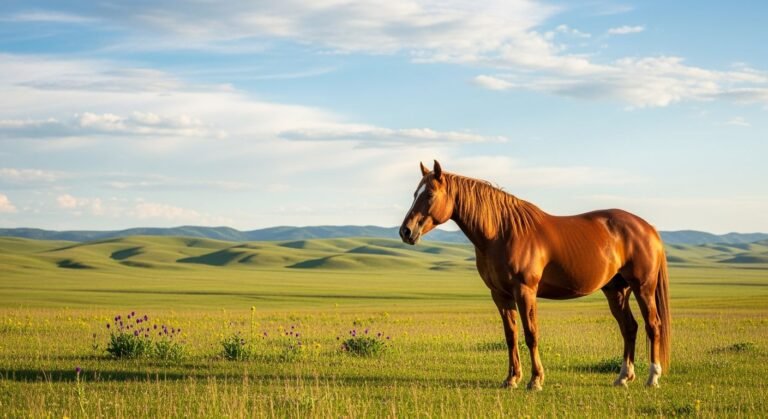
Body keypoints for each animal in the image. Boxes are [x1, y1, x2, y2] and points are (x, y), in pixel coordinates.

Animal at [399, 160, 670, 390]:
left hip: (643, 288)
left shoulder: (525, 291)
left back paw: (652, 377)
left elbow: (531, 334)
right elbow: (511, 336)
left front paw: (535, 380)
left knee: (652, 325)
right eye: (414, 194)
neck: (502, 232)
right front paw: (511, 379)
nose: (405, 231)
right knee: (629, 327)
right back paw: (624, 377)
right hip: (617, 290)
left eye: (429, 195)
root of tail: (648, 228)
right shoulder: (500, 295)